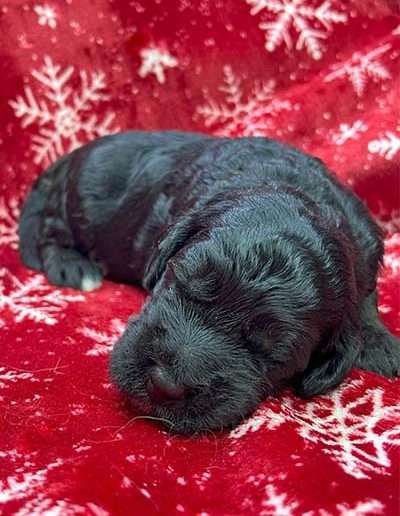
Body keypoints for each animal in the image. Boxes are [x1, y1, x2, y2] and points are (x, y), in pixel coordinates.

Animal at [19, 130, 400, 436]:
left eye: (273, 352)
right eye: (180, 282)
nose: (165, 384)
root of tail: (69, 157)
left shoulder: (365, 246)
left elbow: (365, 298)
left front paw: (379, 342)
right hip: (83, 197)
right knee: (51, 229)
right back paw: (72, 266)